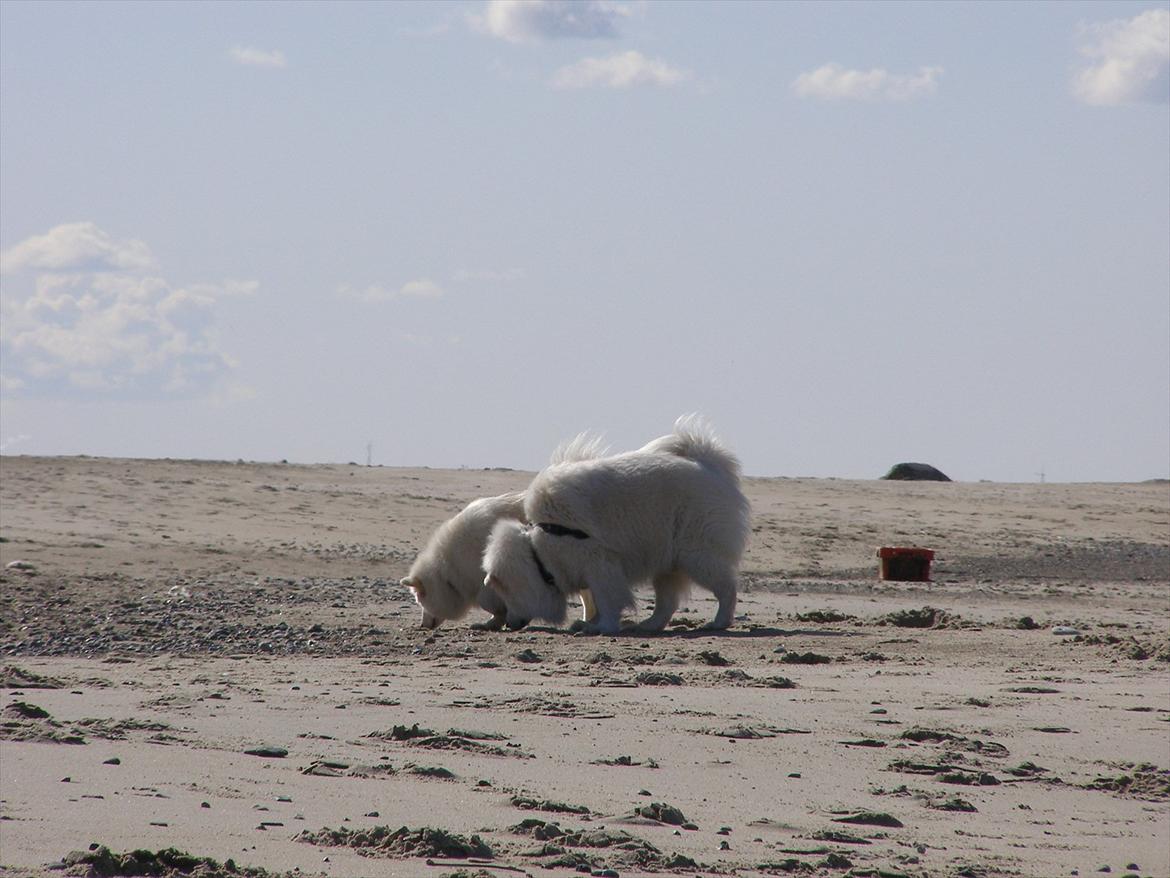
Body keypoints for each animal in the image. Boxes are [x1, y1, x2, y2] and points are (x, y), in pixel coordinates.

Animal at [482, 416, 748, 636]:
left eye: (506, 594)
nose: (509, 624)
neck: (542, 548)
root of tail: (709, 465)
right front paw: (590, 623)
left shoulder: (600, 565)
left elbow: (608, 601)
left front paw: (601, 627)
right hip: (667, 562)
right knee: (667, 603)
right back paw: (648, 626)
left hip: (696, 555)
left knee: (727, 587)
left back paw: (720, 621)